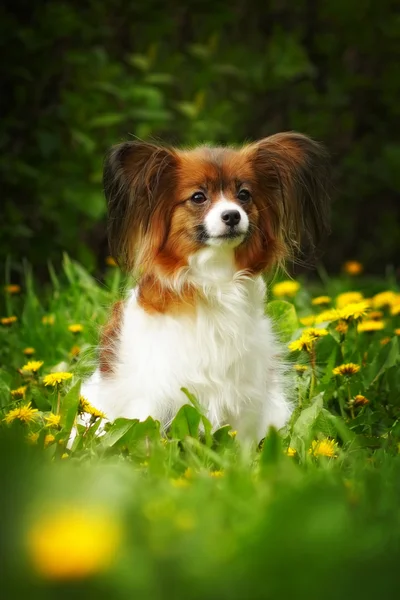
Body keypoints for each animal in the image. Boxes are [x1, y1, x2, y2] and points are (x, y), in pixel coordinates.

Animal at [79, 132, 330, 440]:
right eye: (198, 197)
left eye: (244, 195)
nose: (232, 215)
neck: (214, 280)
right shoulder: (154, 390)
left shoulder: (243, 391)